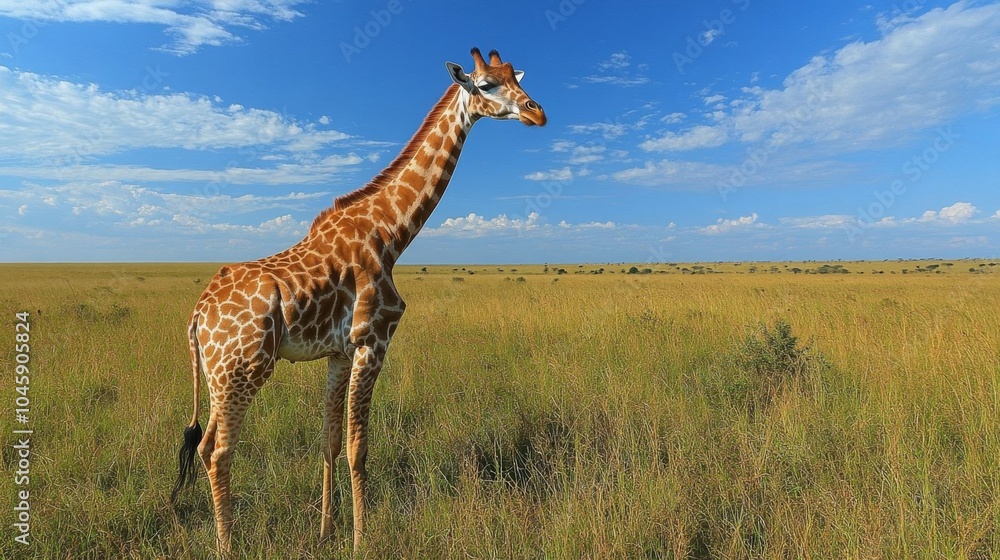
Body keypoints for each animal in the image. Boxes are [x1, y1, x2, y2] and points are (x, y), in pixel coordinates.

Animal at [170, 47, 546, 554]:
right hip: (243, 369)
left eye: (517, 79)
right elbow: (358, 448)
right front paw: (361, 540)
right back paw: (228, 547)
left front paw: (327, 532)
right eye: (486, 85)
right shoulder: (373, 341)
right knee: (218, 451)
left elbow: (329, 441)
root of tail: (197, 315)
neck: (391, 232)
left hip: (218, 376)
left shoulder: (339, 353)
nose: (537, 113)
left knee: (206, 444)